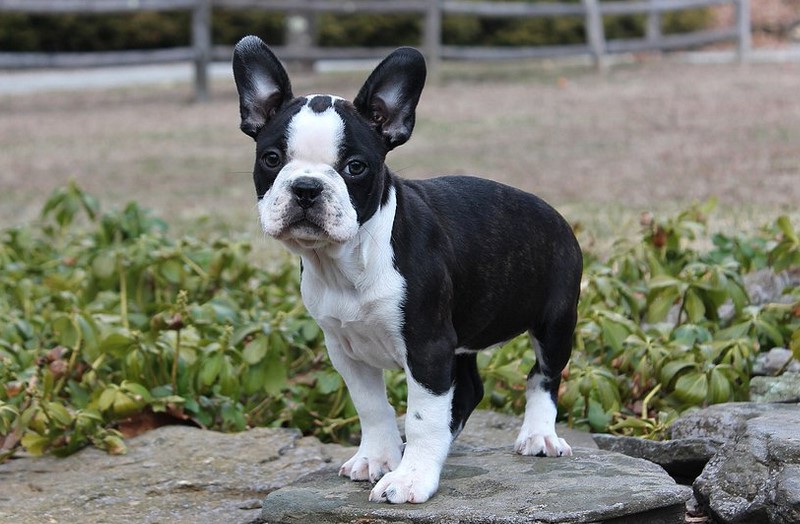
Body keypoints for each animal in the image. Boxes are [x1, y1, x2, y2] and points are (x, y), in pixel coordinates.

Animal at [231, 35, 580, 504]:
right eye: (271, 159)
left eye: (355, 167)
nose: (306, 187)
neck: (346, 262)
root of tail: (556, 215)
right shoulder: (345, 349)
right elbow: (373, 408)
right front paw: (378, 459)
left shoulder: (428, 346)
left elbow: (422, 418)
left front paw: (412, 477)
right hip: (462, 340)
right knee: (468, 389)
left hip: (555, 321)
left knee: (543, 375)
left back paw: (539, 435)